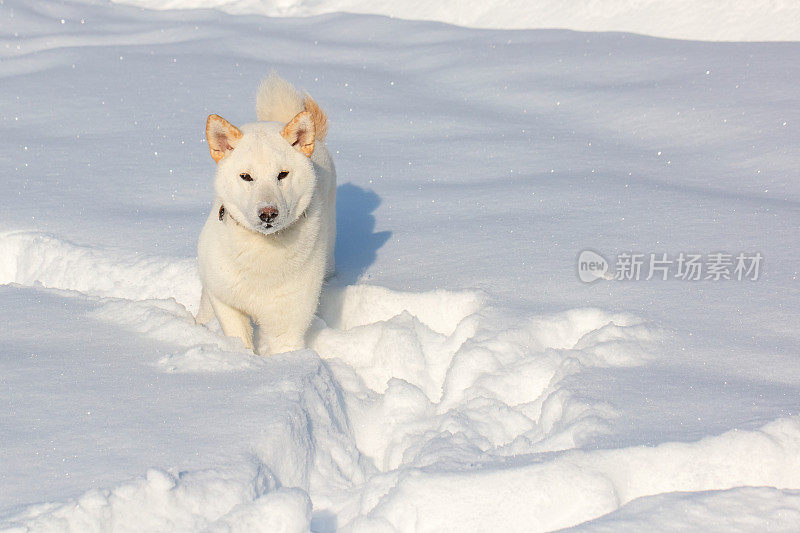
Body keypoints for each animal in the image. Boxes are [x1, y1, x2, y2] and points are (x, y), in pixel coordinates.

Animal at [195, 72, 336, 356]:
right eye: (246, 176)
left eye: (282, 174)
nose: (268, 213)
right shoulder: (227, 301)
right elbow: (239, 338)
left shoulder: (288, 322)